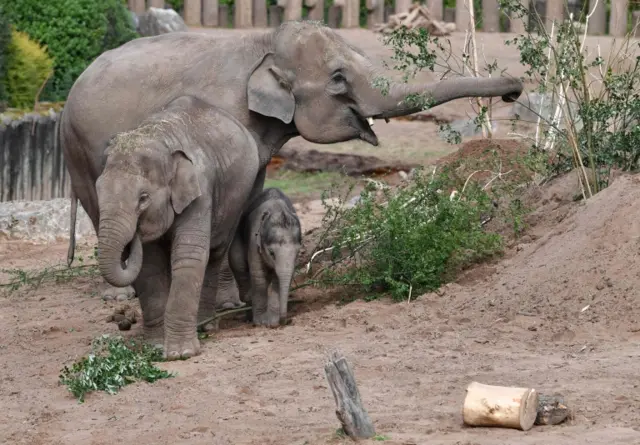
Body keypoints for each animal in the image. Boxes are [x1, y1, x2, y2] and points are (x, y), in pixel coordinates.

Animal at [94, 95, 258, 360]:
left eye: (143, 198)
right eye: (98, 191)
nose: (135, 234)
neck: (157, 135)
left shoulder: (201, 192)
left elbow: (189, 256)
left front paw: (180, 354)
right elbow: (150, 265)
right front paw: (155, 346)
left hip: (238, 198)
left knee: (214, 255)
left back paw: (206, 327)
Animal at [229, 187, 302, 326]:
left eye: (297, 253)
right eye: (271, 253)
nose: (287, 320)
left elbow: (277, 279)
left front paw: (272, 323)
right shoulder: (254, 240)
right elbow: (258, 276)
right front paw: (260, 322)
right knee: (239, 268)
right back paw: (249, 313)